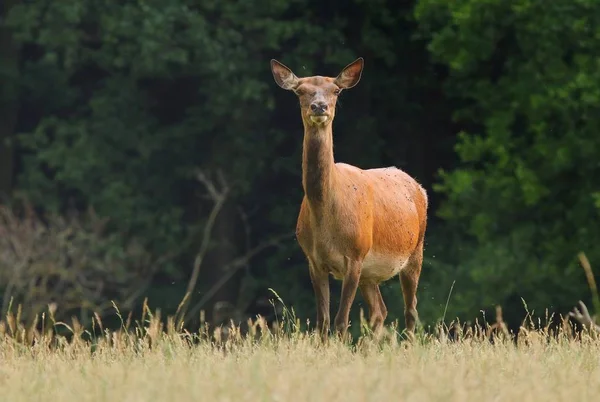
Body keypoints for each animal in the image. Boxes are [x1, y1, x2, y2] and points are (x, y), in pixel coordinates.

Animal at [270, 57, 428, 340]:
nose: (319, 106)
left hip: (415, 250)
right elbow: (322, 321)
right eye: (300, 91)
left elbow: (341, 321)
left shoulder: (354, 256)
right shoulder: (314, 260)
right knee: (380, 311)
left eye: (336, 91)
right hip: (370, 272)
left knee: (411, 311)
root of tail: (419, 188)